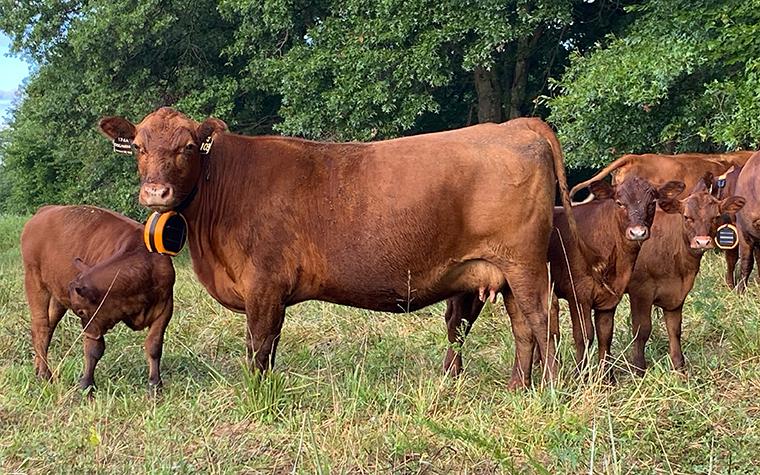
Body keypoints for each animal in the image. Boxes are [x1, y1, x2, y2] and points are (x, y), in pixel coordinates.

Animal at [21, 205, 175, 393]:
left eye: (80, 311)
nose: (85, 332)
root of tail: (45, 210)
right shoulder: (95, 323)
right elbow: (94, 349)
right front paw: (87, 385)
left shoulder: (165, 308)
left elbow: (154, 345)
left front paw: (155, 385)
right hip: (34, 281)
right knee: (40, 328)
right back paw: (45, 374)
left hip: (57, 296)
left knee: (49, 327)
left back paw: (38, 369)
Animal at [97, 107, 579, 385]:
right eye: (138, 147)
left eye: (187, 147)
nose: (155, 192)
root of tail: (515, 125)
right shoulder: (271, 293)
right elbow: (269, 346)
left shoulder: (264, 286)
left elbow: (258, 347)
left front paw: (257, 395)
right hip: (505, 273)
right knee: (523, 329)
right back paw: (518, 388)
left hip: (525, 266)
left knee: (543, 323)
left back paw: (552, 390)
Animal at [443, 176, 685, 386]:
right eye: (619, 202)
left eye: (652, 202)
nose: (637, 232)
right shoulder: (579, 294)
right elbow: (584, 335)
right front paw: (581, 376)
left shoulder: (609, 297)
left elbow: (605, 335)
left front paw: (607, 380)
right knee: (456, 322)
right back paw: (452, 371)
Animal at [617, 175, 745, 374]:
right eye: (687, 217)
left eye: (715, 217)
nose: (702, 242)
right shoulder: (640, 291)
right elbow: (641, 330)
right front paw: (638, 369)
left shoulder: (678, 292)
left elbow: (674, 329)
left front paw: (679, 366)